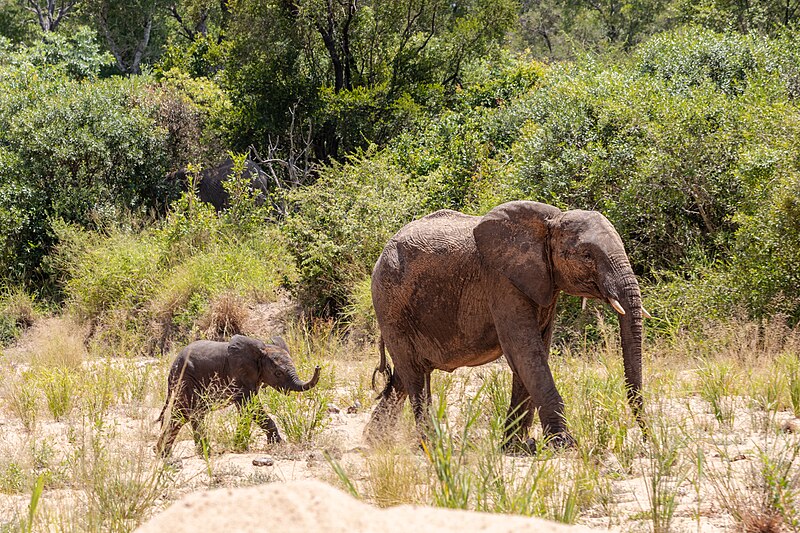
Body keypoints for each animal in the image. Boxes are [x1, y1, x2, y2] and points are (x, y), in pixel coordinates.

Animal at [155, 334, 320, 456]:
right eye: (278, 373)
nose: (318, 366)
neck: (262, 350)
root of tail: (173, 366)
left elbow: (247, 410)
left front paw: (241, 445)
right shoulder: (239, 376)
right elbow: (252, 407)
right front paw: (277, 444)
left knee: (185, 415)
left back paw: (167, 453)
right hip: (186, 380)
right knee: (187, 413)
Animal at [366, 200, 648, 448]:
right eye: (587, 255)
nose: (645, 436)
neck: (549, 222)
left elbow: (534, 354)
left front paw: (515, 446)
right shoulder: (501, 281)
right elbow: (524, 351)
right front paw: (562, 444)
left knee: (405, 375)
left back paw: (375, 441)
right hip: (389, 301)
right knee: (414, 375)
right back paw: (432, 445)